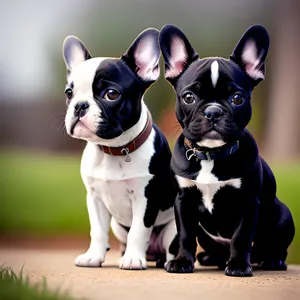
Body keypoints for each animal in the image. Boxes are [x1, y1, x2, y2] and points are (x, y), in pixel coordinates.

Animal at [61, 29, 177, 270]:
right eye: (69, 92)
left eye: (111, 94)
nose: (79, 105)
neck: (113, 149)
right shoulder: (94, 198)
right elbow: (97, 231)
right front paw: (93, 257)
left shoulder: (145, 198)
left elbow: (139, 231)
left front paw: (133, 259)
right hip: (117, 226)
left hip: (173, 228)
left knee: (171, 246)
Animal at [159, 25, 296, 276]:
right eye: (189, 97)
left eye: (237, 98)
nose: (213, 111)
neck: (210, 155)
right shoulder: (183, 201)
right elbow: (185, 235)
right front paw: (182, 261)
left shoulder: (248, 203)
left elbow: (241, 238)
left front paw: (239, 265)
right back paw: (208, 258)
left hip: (284, 217)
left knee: (273, 247)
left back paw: (272, 261)